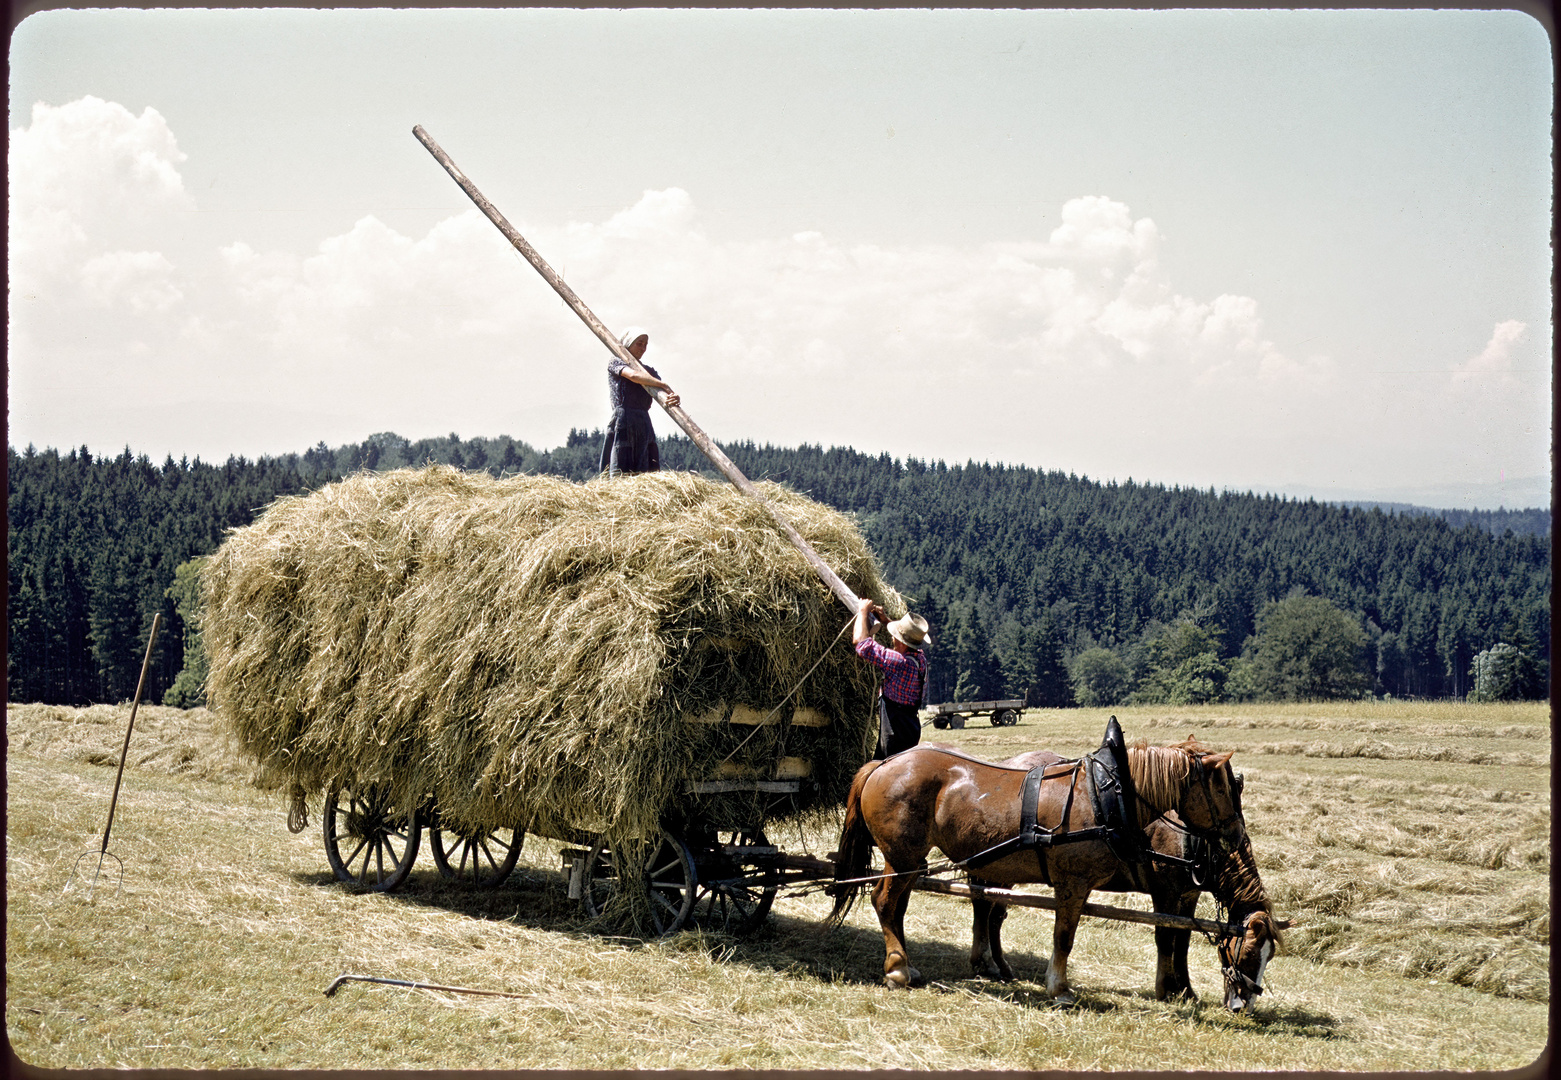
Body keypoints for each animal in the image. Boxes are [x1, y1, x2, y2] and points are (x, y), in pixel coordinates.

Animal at [830, 733, 1242, 1005]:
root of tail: (883, 764)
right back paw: (898, 969)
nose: (1237, 835)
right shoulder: (1073, 883)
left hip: (908, 862)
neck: (1105, 796)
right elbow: (1064, 936)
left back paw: (907, 966)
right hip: (901, 857)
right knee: (885, 903)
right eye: (1224, 789)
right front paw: (1059, 988)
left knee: (898, 907)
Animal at [980, 746, 1286, 1011]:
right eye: (1248, 953)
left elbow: (1183, 942)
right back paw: (994, 964)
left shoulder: (1189, 895)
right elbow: (1166, 938)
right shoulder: (1165, 893)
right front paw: (1166, 989)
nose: (1243, 1007)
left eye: (1269, 956)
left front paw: (1186, 990)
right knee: (990, 915)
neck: (1195, 839)